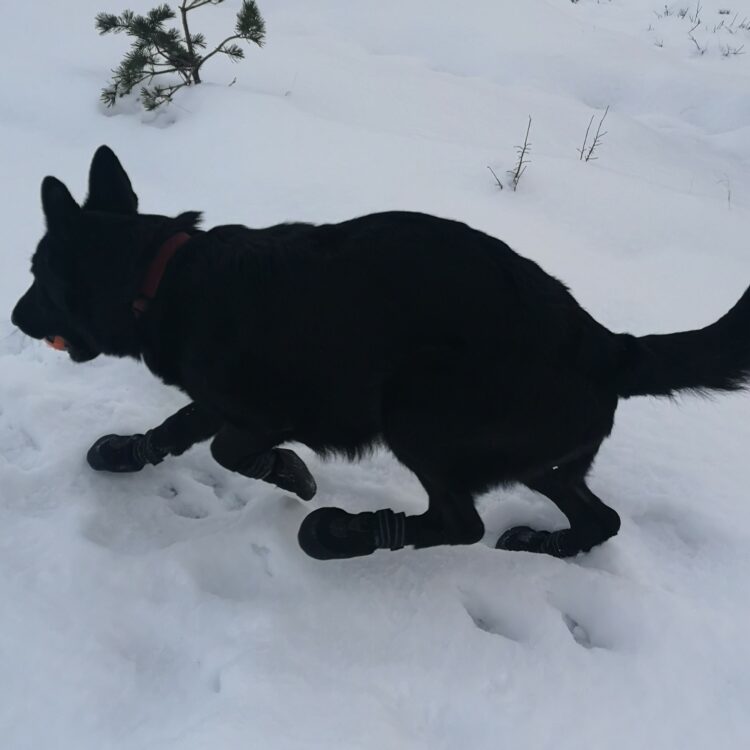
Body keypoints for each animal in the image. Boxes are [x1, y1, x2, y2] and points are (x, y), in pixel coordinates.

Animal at [11, 145, 750, 560]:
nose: (14, 318)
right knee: (600, 517)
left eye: (37, 274)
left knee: (459, 524)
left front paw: (290, 475)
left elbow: (227, 449)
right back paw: (547, 543)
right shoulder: (218, 399)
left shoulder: (258, 411)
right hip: (539, 460)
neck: (162, 276)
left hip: (418, 408)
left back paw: (347, 536)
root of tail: (606, 345)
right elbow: (174, 429)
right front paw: (125, 452)